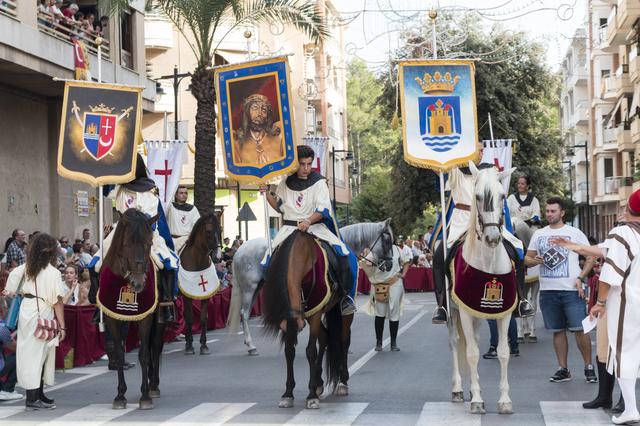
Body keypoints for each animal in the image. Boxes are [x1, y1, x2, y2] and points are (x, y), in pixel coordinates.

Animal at [99, 209, 165, 410]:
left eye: (149, 243)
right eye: (127, 244)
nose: (137, 284)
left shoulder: (146, 317)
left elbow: (143, 354)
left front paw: (145, 396)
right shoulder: (113, 318)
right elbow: (120, 354)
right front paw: (120, 395)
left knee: (155, 346)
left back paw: (153, 385)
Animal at [179, 213, 221, 356]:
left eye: (220, 228)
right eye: (208, 231)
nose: (218, 257)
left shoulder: (206, 294)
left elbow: (203, 318)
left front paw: (204, 345)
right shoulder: (186, 295)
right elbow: (189, 317)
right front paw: (189, 346)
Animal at [225, 218, 396, 354]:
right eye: (387, 241)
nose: (389, 265)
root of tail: (239, 252)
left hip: (257, 288)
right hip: (249, 288)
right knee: (244, 314)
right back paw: (251, 346)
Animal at [262, 231, 344, 412]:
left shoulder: (315, 314)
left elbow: (310, 351)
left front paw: (311, 395)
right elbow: (289, 351)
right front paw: (288, 394)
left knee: (341, 340)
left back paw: (341, 383)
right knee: (325, 337)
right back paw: (319, 382)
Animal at [448, 161, 516, 414]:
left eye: (503, 196)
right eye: (478, 197)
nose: (492, 238)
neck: (488, 261)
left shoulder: (505, 312)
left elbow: (504, 353)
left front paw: (505, 400)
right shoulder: (465, 311)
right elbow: (472, 354)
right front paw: (477, 400)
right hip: (454, 312)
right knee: (456, 343)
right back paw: (459, 389)